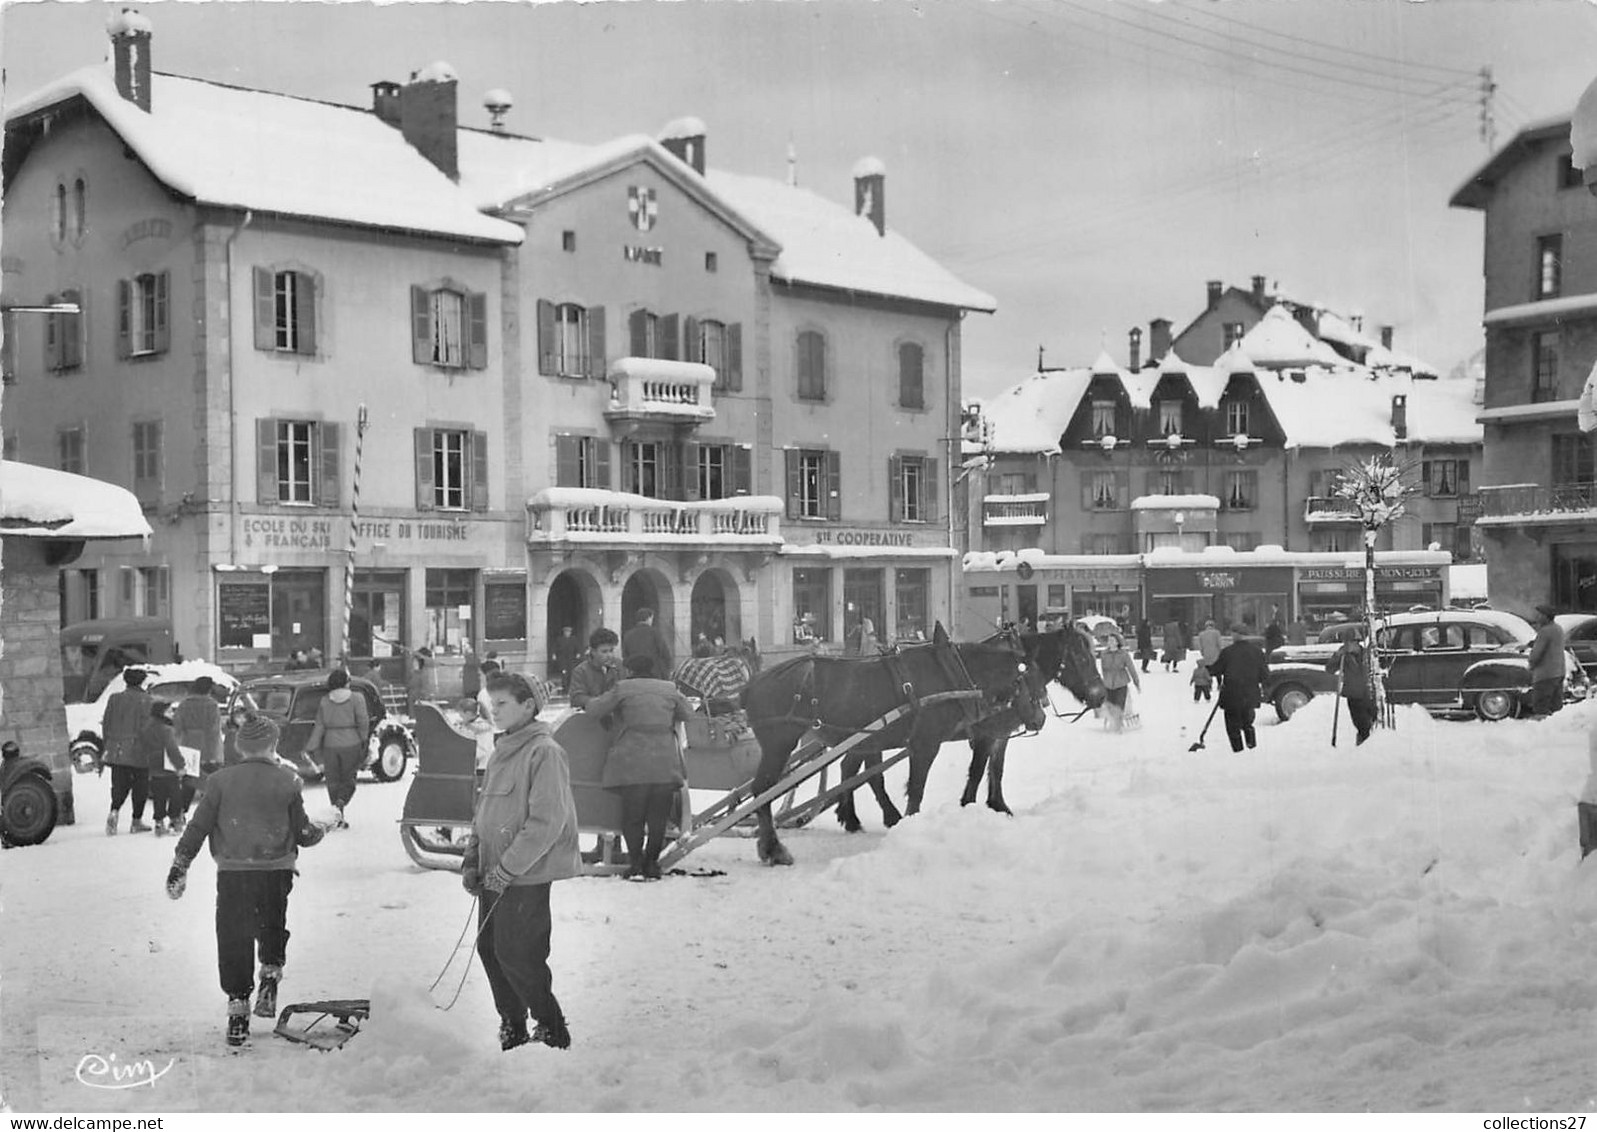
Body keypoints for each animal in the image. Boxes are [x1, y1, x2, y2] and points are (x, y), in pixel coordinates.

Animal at [737, 622, 1041, 862]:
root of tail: (752, 684)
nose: (1040, 718)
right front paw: (910, 824)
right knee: (762, 791)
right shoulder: (926, 741)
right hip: (779, 744)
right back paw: (774, 849)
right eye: (1030, 679)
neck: (951, 672)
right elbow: (917, 787)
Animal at [951, 625, 1105, 811]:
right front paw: (968, 805)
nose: (1101, 695)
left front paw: (999, 806)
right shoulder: (986, 734)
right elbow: (976, 772)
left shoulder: (1002, 734)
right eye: (1082, 658)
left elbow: (997, 768)